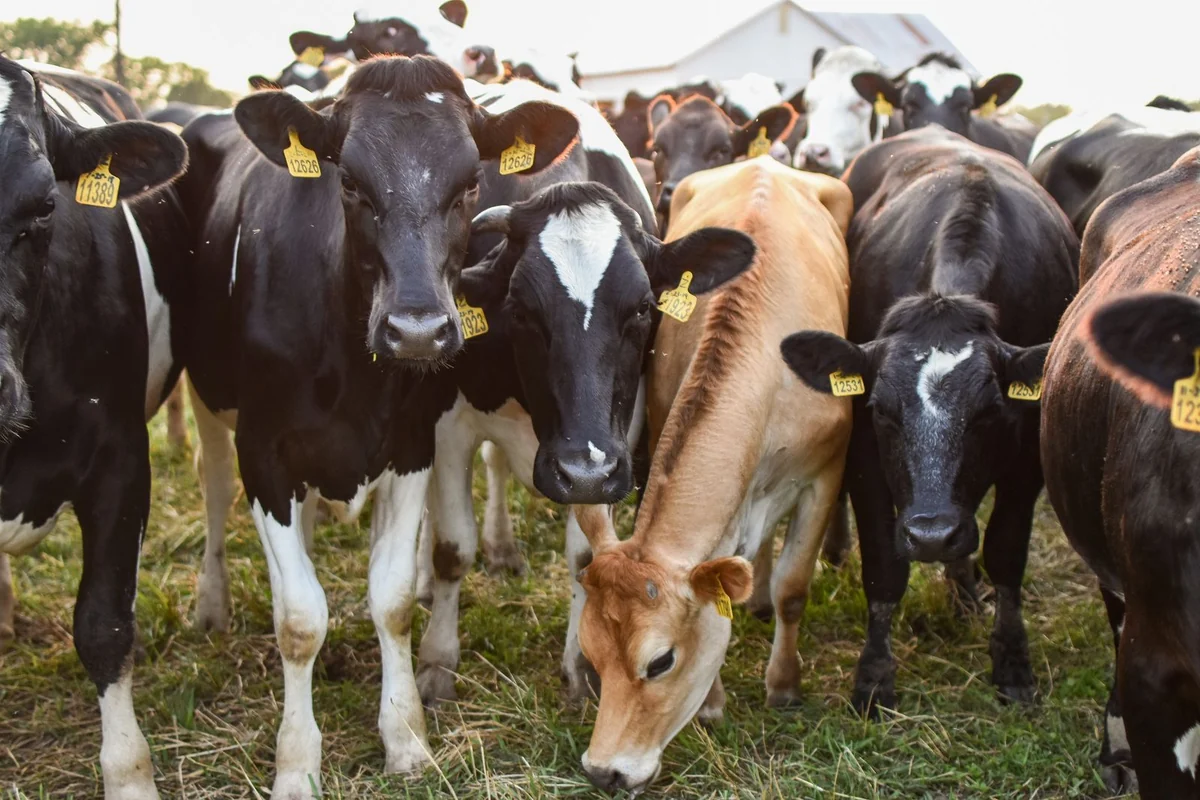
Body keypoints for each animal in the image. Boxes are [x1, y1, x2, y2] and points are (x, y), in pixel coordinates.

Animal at [174, 55, 580, 796]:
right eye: (350, 181)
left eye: (470, 182)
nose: (416, 330)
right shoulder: (265, 454)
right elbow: (299, 619)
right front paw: (297, 763)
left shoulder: (411, 445)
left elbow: (390, 599)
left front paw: (407, 737)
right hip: (207, 401)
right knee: (213, 488)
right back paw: (211, 604)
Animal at [414, 182, 756, 707]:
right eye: (519, 310)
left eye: (642, 308)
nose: (582, 469)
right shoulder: (448, 424)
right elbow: (452, 547)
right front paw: (437, 662)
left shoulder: (614, 448)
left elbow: (584, 555)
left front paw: (579, 665)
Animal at [575, 156, 854, 794]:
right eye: (592, 656)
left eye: (660, 662)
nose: (604, 772)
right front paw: (713, 704)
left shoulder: (827, 470)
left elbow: (794, 588)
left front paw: (784, 685)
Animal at [781, 126, 1078, 717]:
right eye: (881, 410)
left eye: (990, 412)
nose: (932, 534)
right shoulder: (867, 459)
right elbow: (883, 567)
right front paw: (873, 678)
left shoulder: (1026, 462)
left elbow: (1005, 553)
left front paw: (1012, 663)